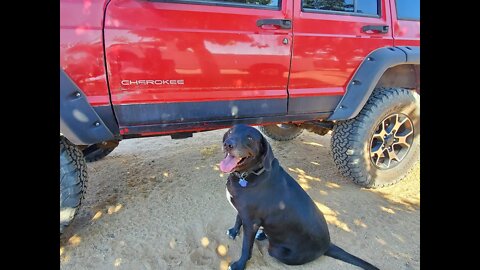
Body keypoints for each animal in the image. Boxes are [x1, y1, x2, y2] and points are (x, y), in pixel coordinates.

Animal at [219, 124, 380, 270]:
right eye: (231, 131)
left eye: (250, 138)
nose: (228, 144)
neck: (249, 174)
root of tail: (327, 245)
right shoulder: (243, 212)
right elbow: (238, 219)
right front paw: (233, 232)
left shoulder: (251, 222)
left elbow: (246, 247)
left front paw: (239, 265)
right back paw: (262, 234)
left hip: (277, 251)